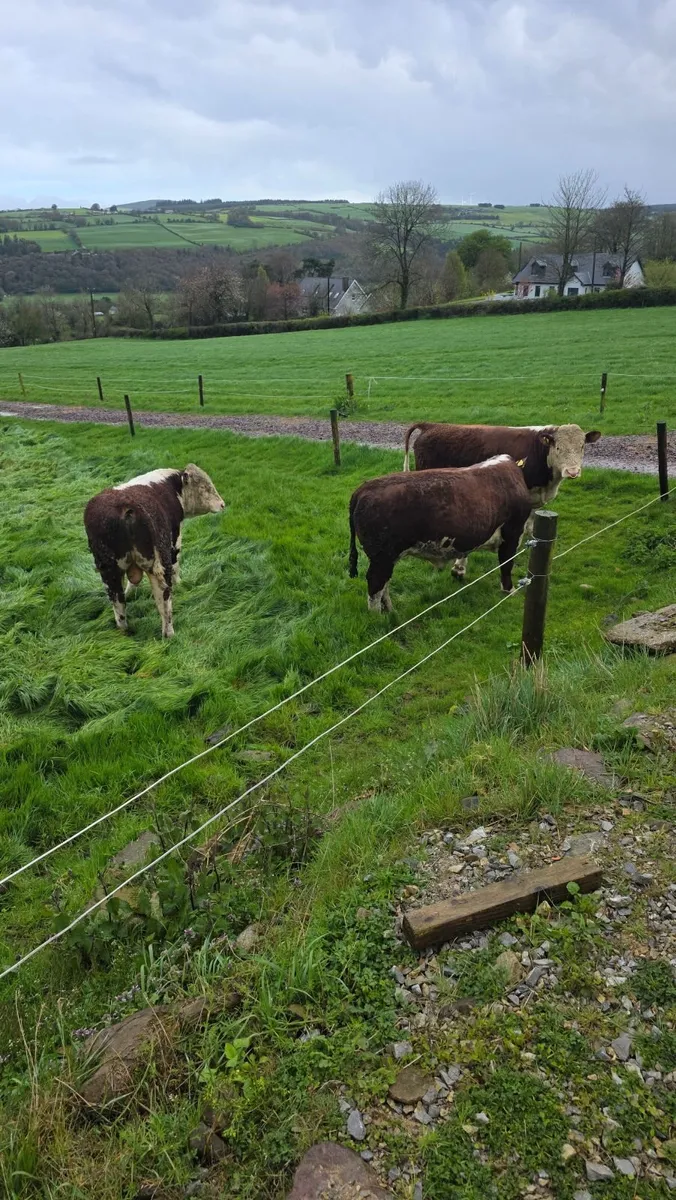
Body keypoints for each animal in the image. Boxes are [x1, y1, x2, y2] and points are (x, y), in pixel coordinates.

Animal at [84, 464, 225, 638]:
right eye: (204, 487)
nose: (222, 504)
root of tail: (125, 507)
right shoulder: (175, 538)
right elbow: (176, 565)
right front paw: (181, 584)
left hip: (108, 569)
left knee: (117, 600)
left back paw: (124, 630)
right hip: (160, 562)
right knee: (164, 598)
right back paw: (169, 634)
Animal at [348, 456, 532, 611]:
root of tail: (364, 488)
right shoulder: (513, 532)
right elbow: (507, 563)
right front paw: (509, 590)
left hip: (386, 557)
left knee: (384, 584)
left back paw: (389, 610)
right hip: (382, 557)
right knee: (376, 583)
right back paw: (378, 616)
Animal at [402, 421, 601, 580]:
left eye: (582, 446)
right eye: (558, 448)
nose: (572, 471)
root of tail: (431, 425)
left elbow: (530, 527)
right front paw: (459, 567)